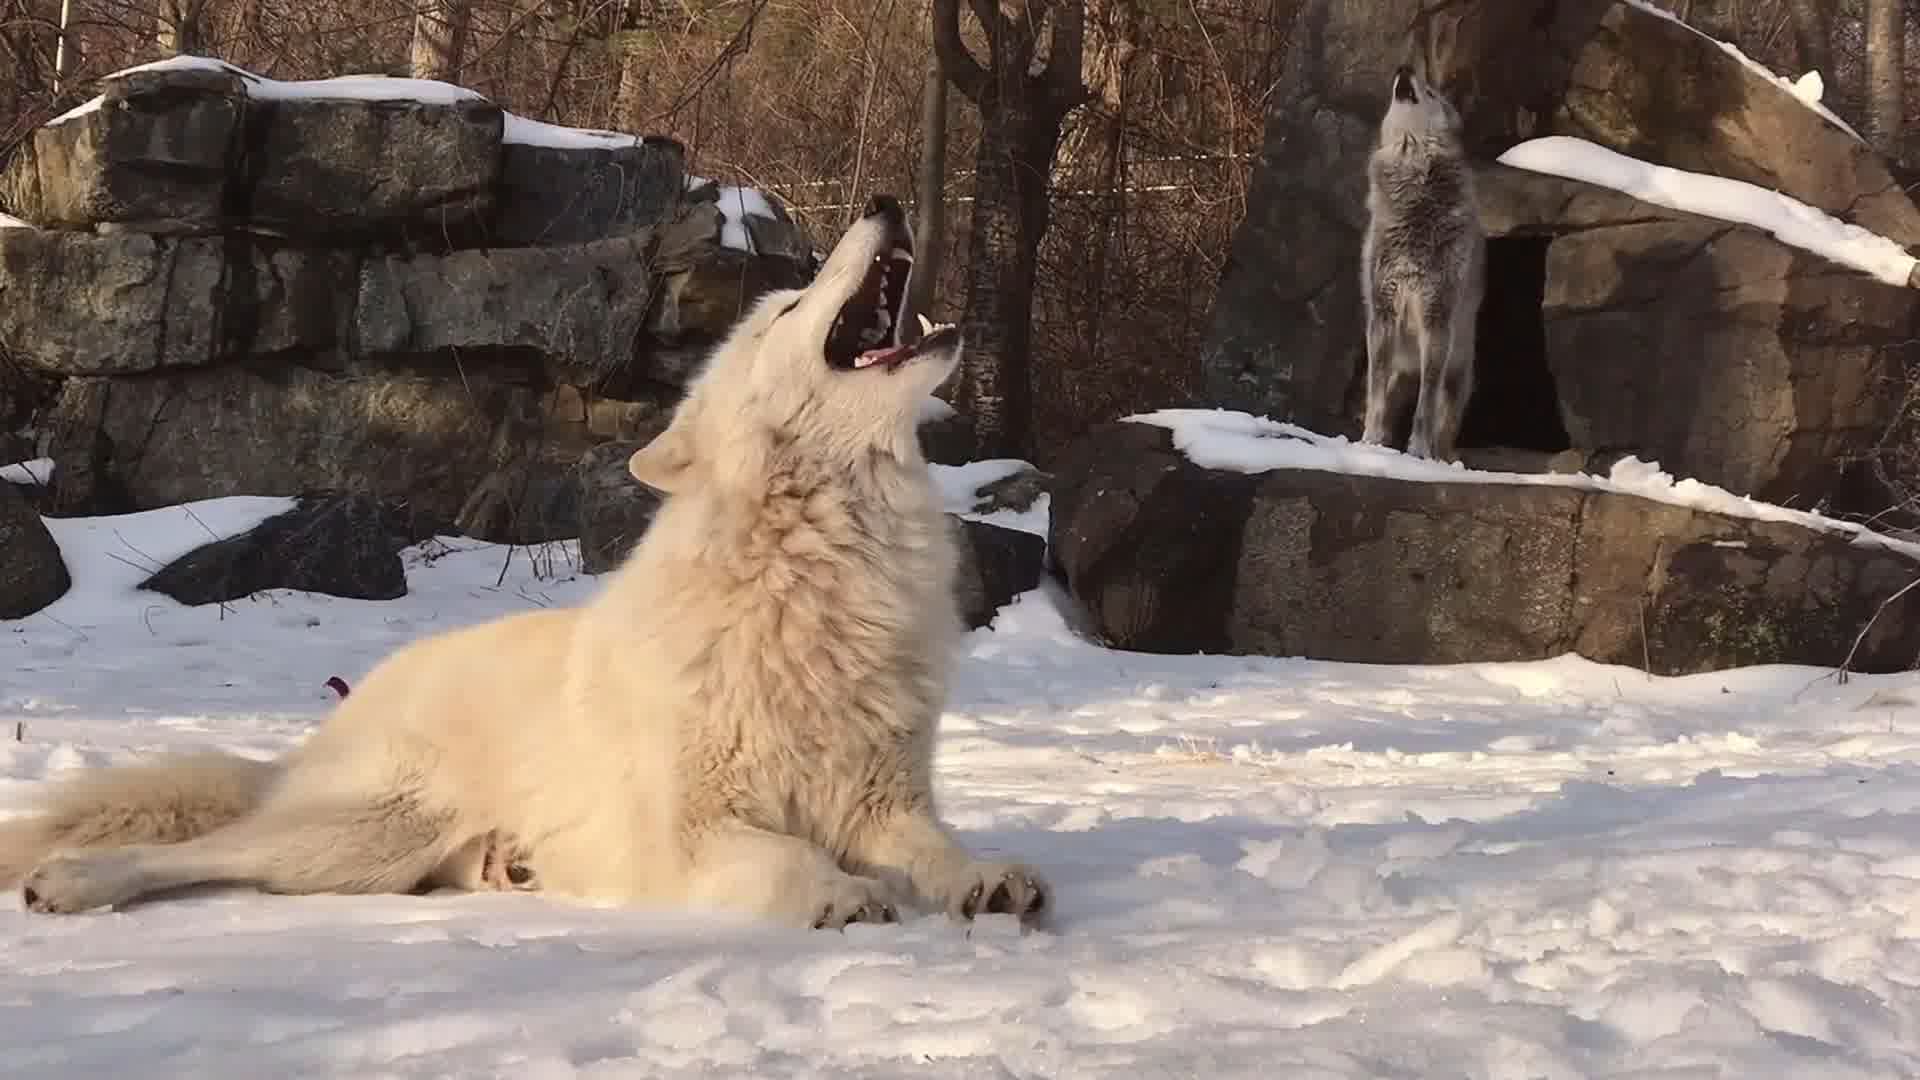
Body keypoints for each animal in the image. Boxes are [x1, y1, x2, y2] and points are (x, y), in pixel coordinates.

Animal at [3, 195, 1052, 933]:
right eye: (788, 302)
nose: (886, 200)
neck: (822, 566)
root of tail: (323, 733)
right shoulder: (696, 833)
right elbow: (790, 861)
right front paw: (837, 894)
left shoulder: (883, 805)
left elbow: (936, 850)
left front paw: (985, 878)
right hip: (353, 841)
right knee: (207, 853)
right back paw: (72, 880)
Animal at [1351, 62, 1482, 457]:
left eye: (1433, 93)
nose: (1405, 67)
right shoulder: (1383, 314)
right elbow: (1376, 397)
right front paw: (1370, 443)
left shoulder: (1436, 319)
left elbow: (1426, 403)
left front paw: (1419, 451)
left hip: (1457, 375)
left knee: (1444, 423)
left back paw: (1442, 457)